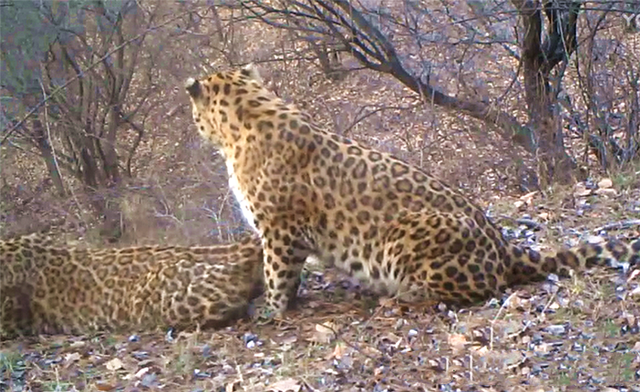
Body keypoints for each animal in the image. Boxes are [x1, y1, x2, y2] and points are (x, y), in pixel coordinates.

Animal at [184, 65, 640, 322]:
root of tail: (504, 245)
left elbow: (278, 272)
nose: (195, 126)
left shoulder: (280, 228)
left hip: (406, 234)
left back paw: (400, 295)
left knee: (469, 290)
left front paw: (272, 309)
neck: (241, 122)